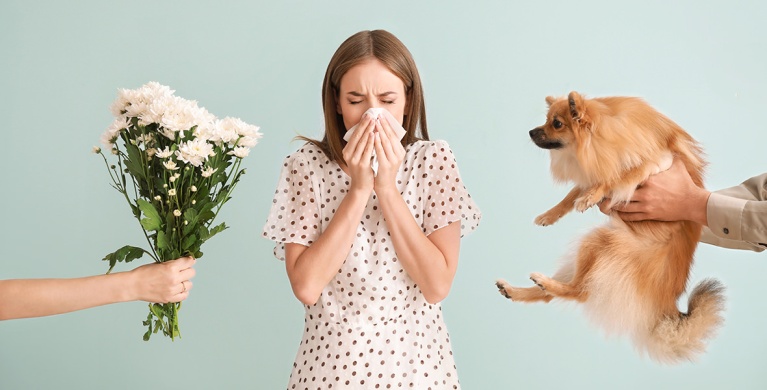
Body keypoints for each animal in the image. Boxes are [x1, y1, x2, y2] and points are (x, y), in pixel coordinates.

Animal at [498, 91, 728, 362]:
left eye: (557, 124)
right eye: (546, 120)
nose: (532, 132)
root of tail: (667, 306)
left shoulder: (657, 161)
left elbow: (618, 176)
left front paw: (590, 196)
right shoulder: (593, 170)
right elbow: (571, 195)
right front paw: (550, 214)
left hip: (600, 243)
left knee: (580, 292)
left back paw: (545, 282)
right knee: (554, 295)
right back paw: (514, 290)